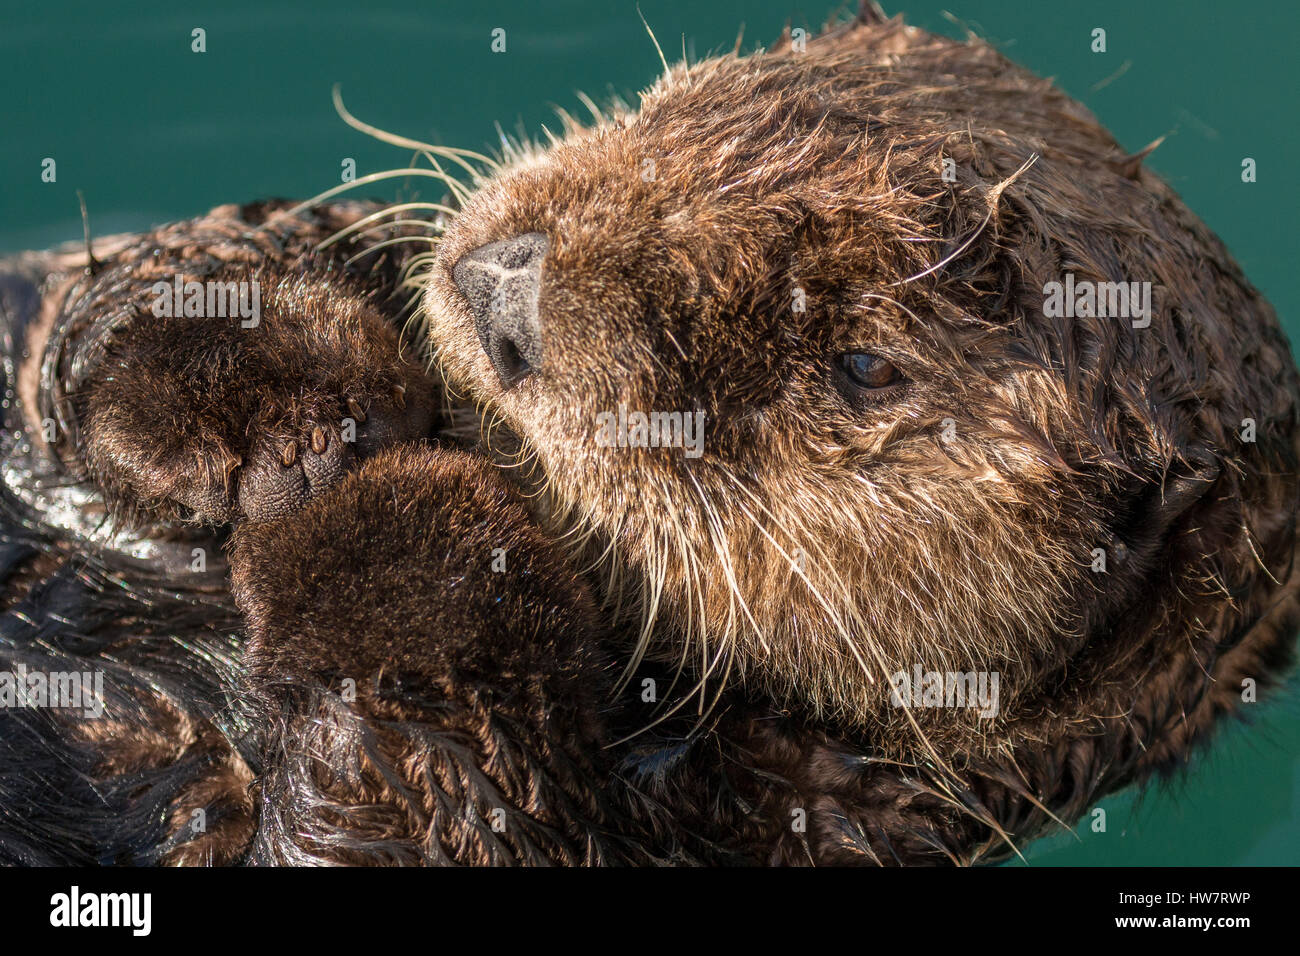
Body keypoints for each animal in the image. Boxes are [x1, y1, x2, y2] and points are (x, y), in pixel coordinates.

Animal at [1, 4, 1296, 865]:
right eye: (679, 112)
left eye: (863, 364)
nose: (506, 293)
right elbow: (112, 299)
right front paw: (275, 389)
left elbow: (417, 800)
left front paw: (398, 532)